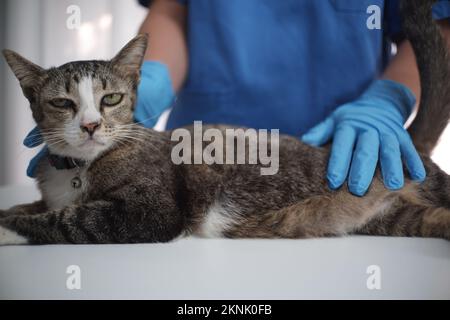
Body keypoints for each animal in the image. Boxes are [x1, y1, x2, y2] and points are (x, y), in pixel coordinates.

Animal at [0, 0, 448, 245]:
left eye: (110, 99)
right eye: (62, 103)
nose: (91, 126)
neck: (77, 172)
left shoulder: (151, 212)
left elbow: (64, 220)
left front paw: (8, 228)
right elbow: (38, 206)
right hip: (396, 218)